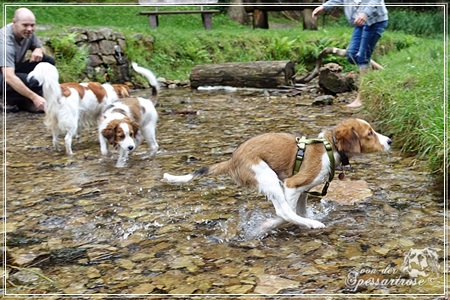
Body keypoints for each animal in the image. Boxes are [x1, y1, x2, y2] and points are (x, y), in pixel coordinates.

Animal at [163, 118, 392, 238]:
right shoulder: (292, 184)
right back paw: (309, 224)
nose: (390, 140)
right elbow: (287, 213)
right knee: (283, 211)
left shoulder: (303, 191)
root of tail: (232, 160)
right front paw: (269, 225)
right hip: (267, 176)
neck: (330, 148)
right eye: (370, 133)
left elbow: (299, 210)